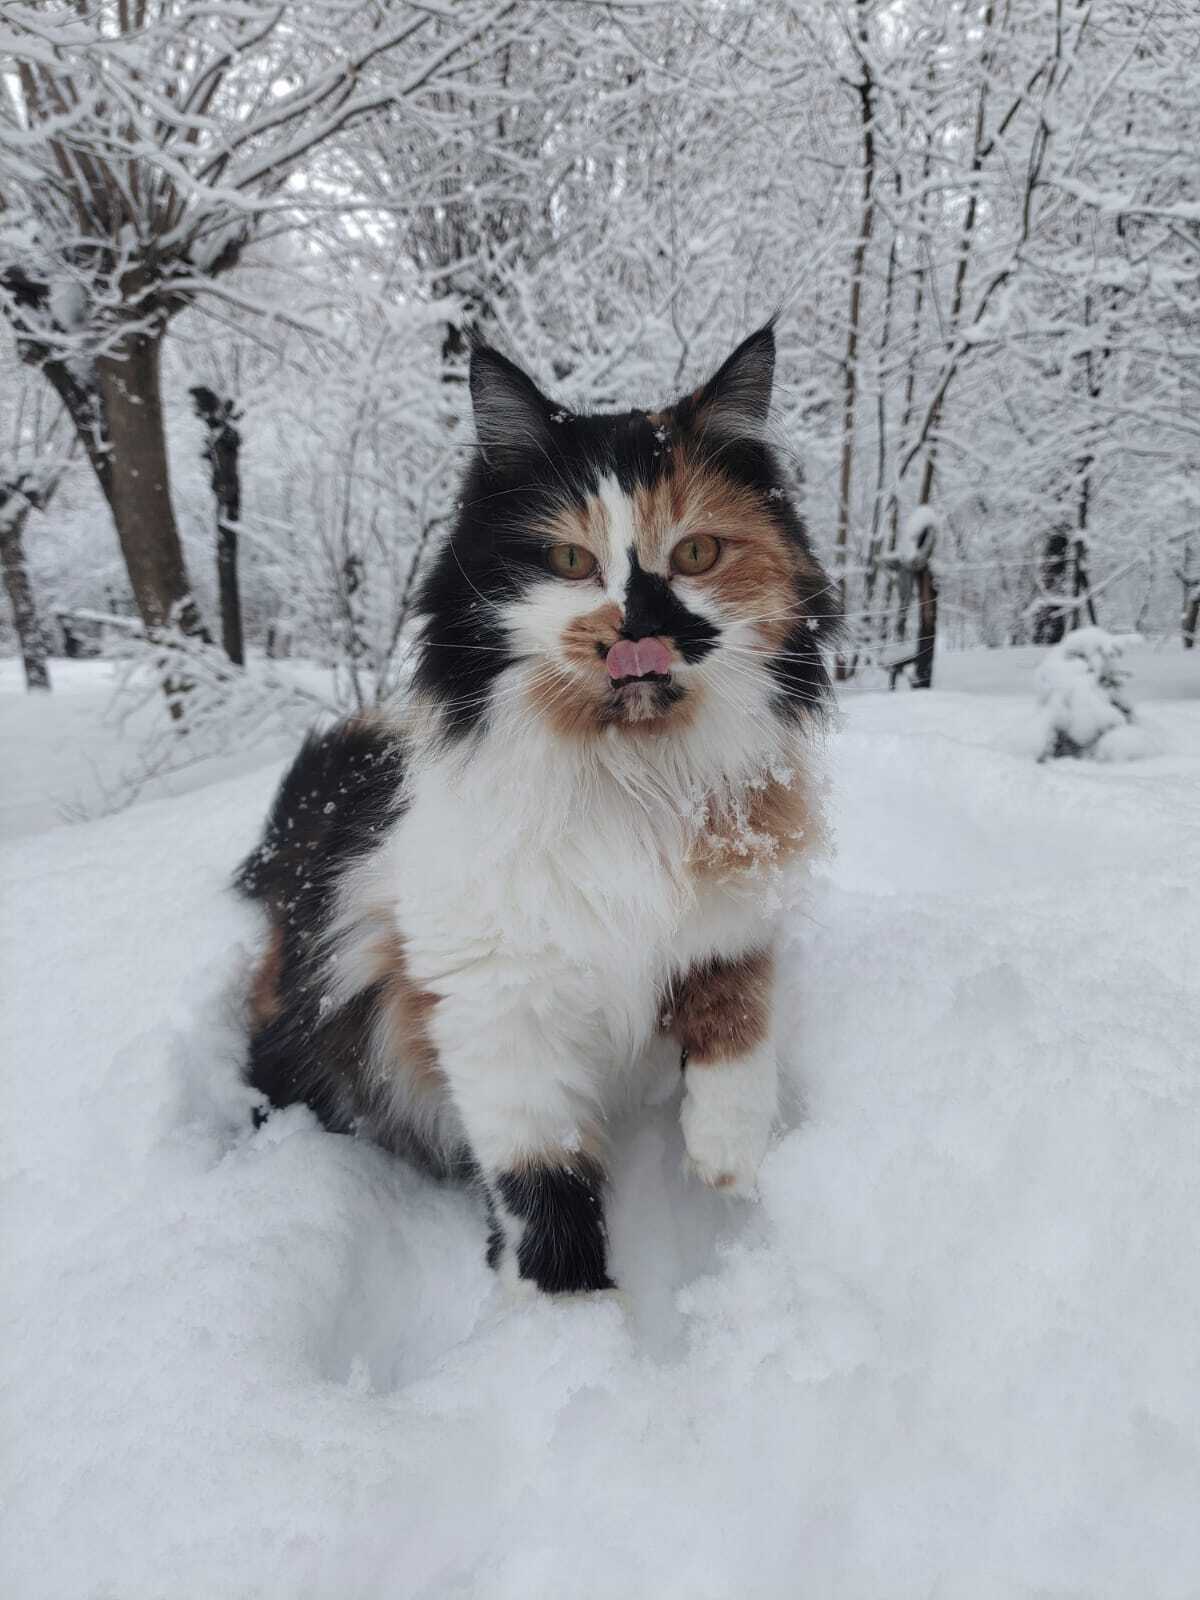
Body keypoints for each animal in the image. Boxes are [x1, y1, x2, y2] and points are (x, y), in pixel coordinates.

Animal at [235, 324, 838, 1299]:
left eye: (697, 555)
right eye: (568, 562)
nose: (639, 626)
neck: (631, 782)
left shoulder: (729, 915)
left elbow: (737, 1020)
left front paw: (727, 1154)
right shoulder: (500, 1017)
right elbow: (547, 1197)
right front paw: (563, 1324)